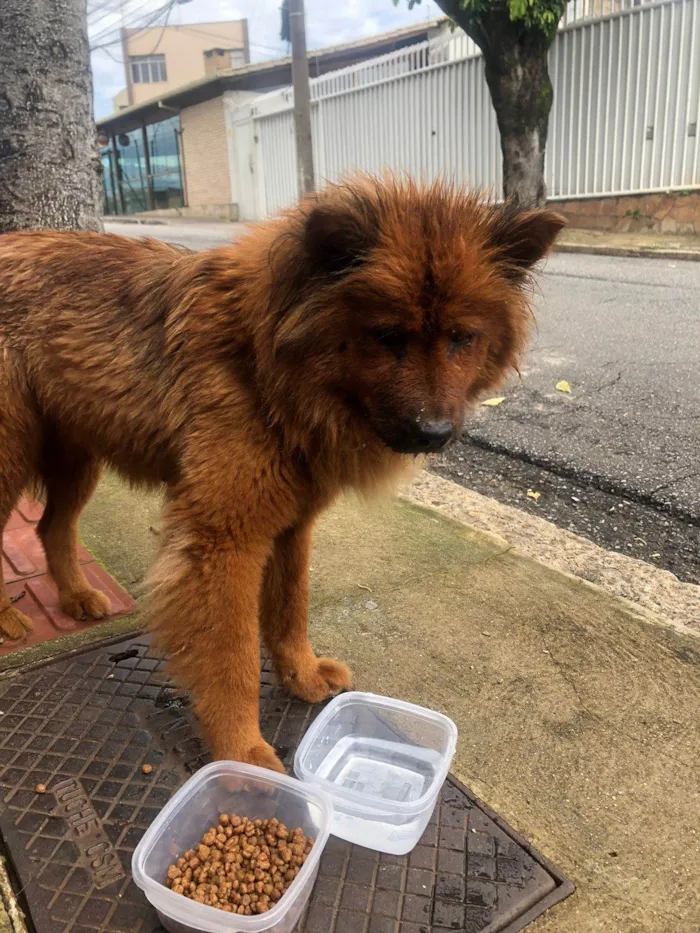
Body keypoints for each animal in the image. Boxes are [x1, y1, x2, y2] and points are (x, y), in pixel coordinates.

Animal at [0, 177, 560, 772]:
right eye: (387, 336)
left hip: (76, 457)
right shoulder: (223, 541)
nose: (433, 432)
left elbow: (291, 610)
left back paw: (76, 596)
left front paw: (301, 675)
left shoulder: (292, 524)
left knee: (52, 527)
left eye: (461, 337)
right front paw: (242, 754)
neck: (263, 364)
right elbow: (234, 658)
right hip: (14, 455)